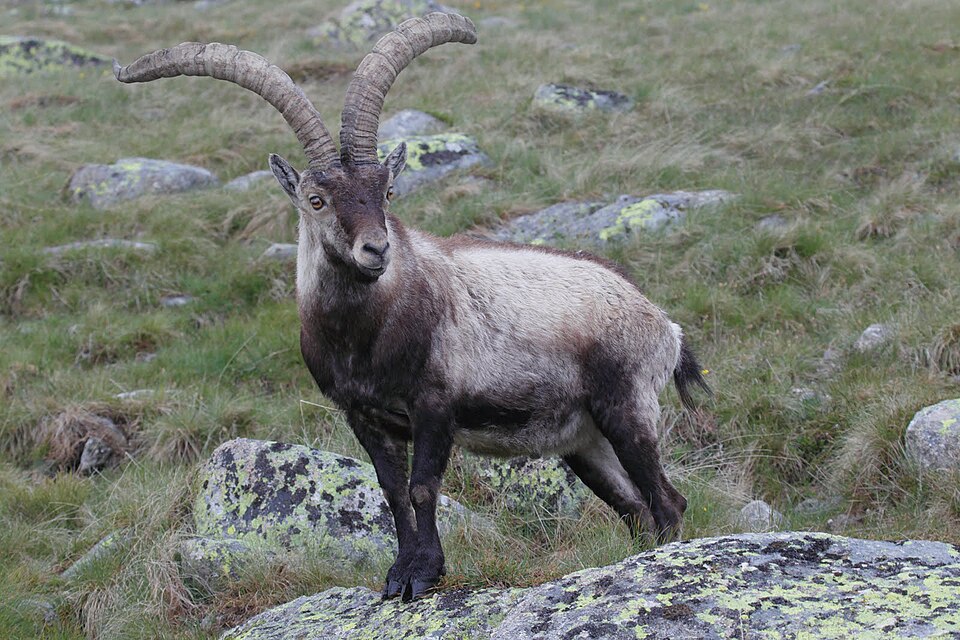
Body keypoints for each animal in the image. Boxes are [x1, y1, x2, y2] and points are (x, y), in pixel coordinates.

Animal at [113, 12, 710, 602]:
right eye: (316, 200)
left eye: (387, 191)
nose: (376, 249)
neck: (363, 336)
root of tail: (665, 325)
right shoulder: (364, 416)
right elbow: (392, 492)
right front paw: (397, 574)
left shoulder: (433, 404)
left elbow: (423, 488)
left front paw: (425, 574)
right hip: (583, 439)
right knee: (633, 506)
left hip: (626, 406)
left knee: (666, 501)